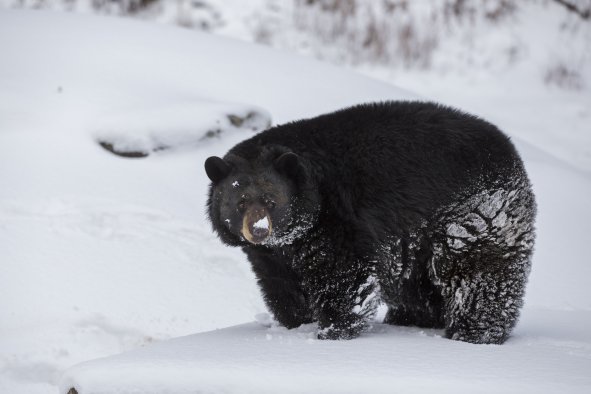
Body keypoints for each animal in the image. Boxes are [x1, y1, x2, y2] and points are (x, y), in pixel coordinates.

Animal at [206, 101, 540, 344]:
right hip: (419, 242)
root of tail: (511, 151)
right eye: (240, 202)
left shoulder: (336, 218)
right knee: (416, 286)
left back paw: (474, 332)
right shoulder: (268, 255)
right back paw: (411, 319)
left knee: (478, 274)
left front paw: (332, 331)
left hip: (476, 213)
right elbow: (281, 287)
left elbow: (345, 275)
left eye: (272, 201)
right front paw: (297, 324)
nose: (259, 230)